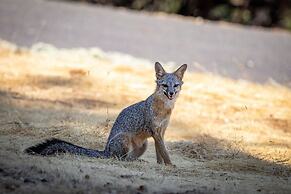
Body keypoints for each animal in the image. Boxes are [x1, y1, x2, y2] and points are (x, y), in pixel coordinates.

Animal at [26, 62, 188, 165]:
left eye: (175, 85)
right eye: (165, 85)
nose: (171, 93)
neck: (164, 109)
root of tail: (105, 151)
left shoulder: (161, 132)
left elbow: (160, 152)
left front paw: (161, 165)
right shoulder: (155, 132)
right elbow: (164, 151)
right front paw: (170, 165)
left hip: (143, 145)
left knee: (128, 158)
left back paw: (138, 160)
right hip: (124, 140)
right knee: (120, 158)